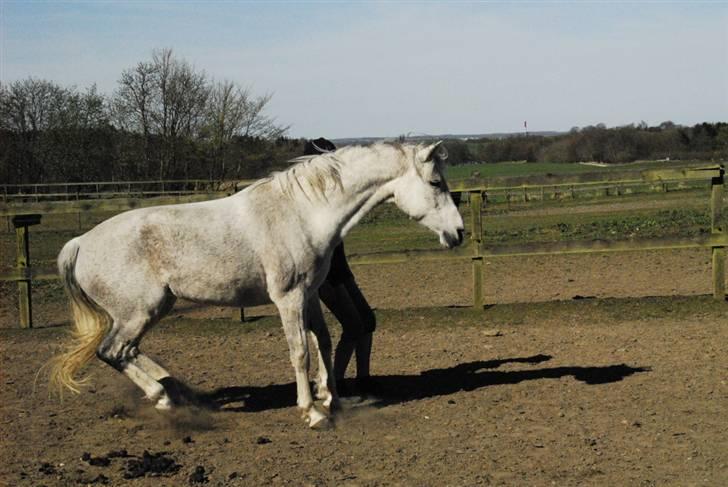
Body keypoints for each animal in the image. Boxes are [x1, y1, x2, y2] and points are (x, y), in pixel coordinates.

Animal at [51, 140, 464, 428]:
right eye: (435, 182)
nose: (458, 232)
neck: (303, 213)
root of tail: (81, 243)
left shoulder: (309, 295)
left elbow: (324, 341)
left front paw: (331, 399)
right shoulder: (288, 298)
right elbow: (300, 351)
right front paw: (312, 412)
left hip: (153, 309)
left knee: (127, 352)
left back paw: (173, 390)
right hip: (139, 312)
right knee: (112, 351)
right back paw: (163, 395)